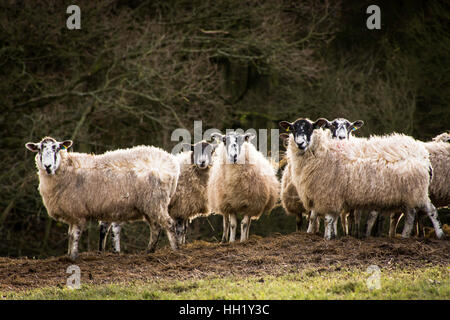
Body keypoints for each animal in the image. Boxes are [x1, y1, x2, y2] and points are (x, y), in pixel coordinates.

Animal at [25, 138, 181, 260]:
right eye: (39, 150)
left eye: (56, 148)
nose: (47, 166)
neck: (65, 169)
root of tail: (171, 164)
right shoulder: (72, 213)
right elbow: (70, 234)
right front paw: (69, 255)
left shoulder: (77, 211)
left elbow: (74, 235)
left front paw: (73, 257)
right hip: (149, 204)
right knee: (155, 227)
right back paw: (149, 251)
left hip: (155, 201)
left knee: (169, 224)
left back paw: (175, 251)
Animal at [280, 119, 444, 239]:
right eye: (293, 129)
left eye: (310, 129)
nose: (300, 143)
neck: (323, 151)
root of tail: (423, 154)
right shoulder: (324, 194)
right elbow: (320, 217)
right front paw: (323, 234)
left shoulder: (330, 193)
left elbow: (327, 219)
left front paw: (327, 238)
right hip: (408, 193)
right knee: (410, 215)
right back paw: (404, 236)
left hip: (417, 190)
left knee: (431, 210)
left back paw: (440, 234)